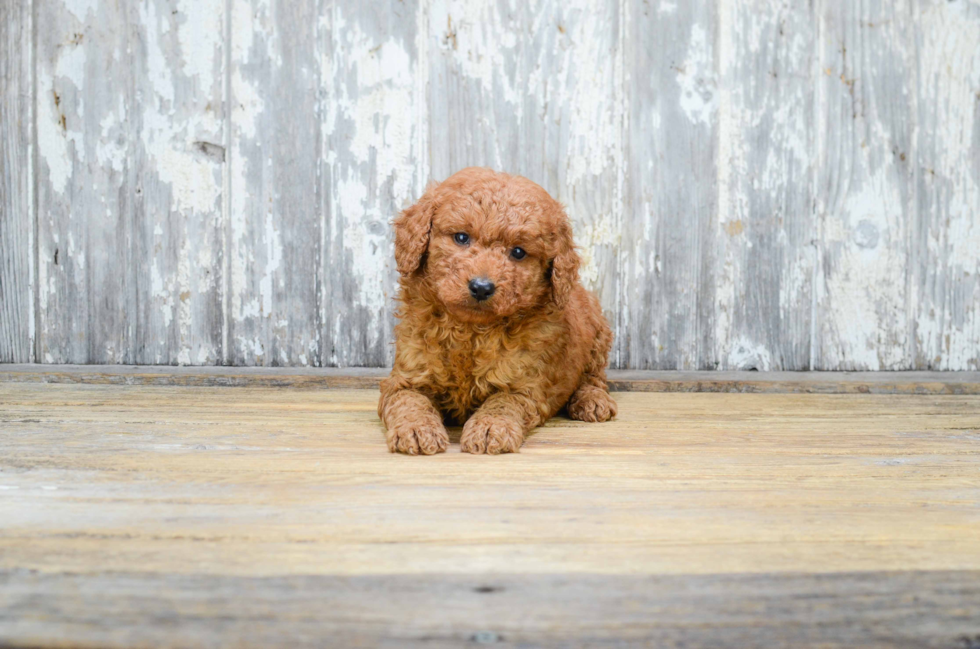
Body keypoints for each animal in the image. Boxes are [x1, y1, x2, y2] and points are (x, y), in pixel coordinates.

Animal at [378, 165, 616, 454]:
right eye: (461, 237)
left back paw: (592, 401)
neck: (470, 331)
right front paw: (415, 429)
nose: (481, 287)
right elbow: (410, 401)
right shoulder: (405, 378)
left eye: (518, 252)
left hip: (598, 332)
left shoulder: (524, 385)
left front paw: (490, 428)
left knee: (593, 376)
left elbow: (503, 402)